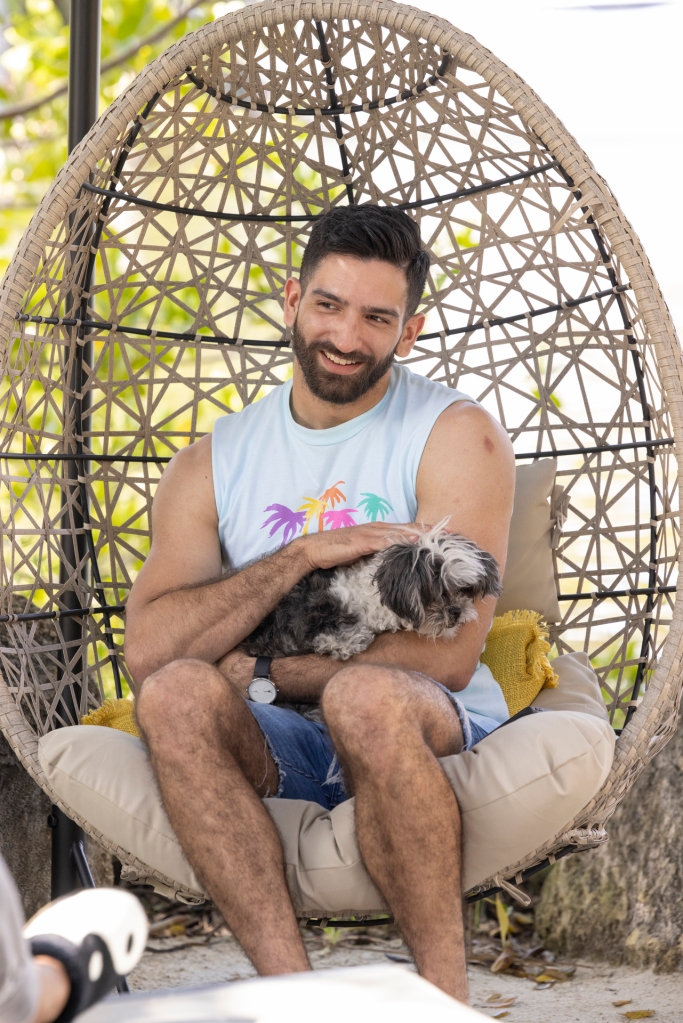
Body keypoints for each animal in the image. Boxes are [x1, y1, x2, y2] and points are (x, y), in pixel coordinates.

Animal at [241, 523, 501, 658]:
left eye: (465, 590)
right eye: (436, 592)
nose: (456, 611)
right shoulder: (311, 609)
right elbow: (324, 629)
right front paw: (349, 639)